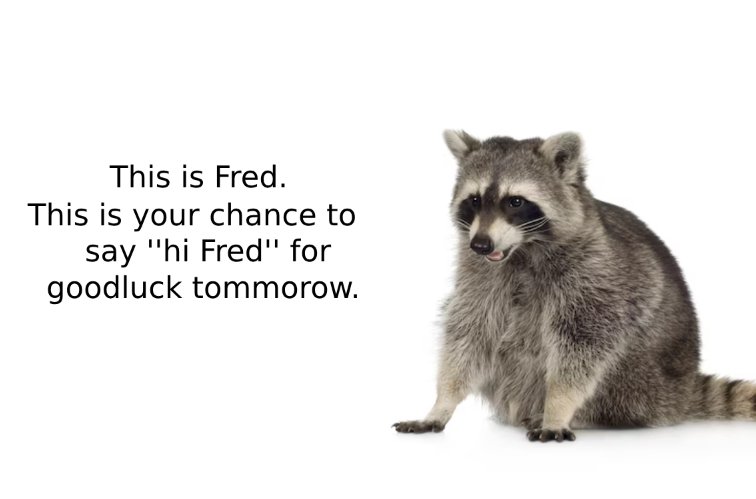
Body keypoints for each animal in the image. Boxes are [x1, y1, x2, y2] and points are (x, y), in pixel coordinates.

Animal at [393, 130, 756, 442]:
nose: (480, 245)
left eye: (515, 202)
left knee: (620, 366)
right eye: (475, 200)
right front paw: (442, 402)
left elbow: (583, 345)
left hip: (647, 378)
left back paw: (587, 416)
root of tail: (683, 389)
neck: (522, 249)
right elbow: (469, 332)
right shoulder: (479, 276)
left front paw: (558, 408)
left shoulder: (595, 276)